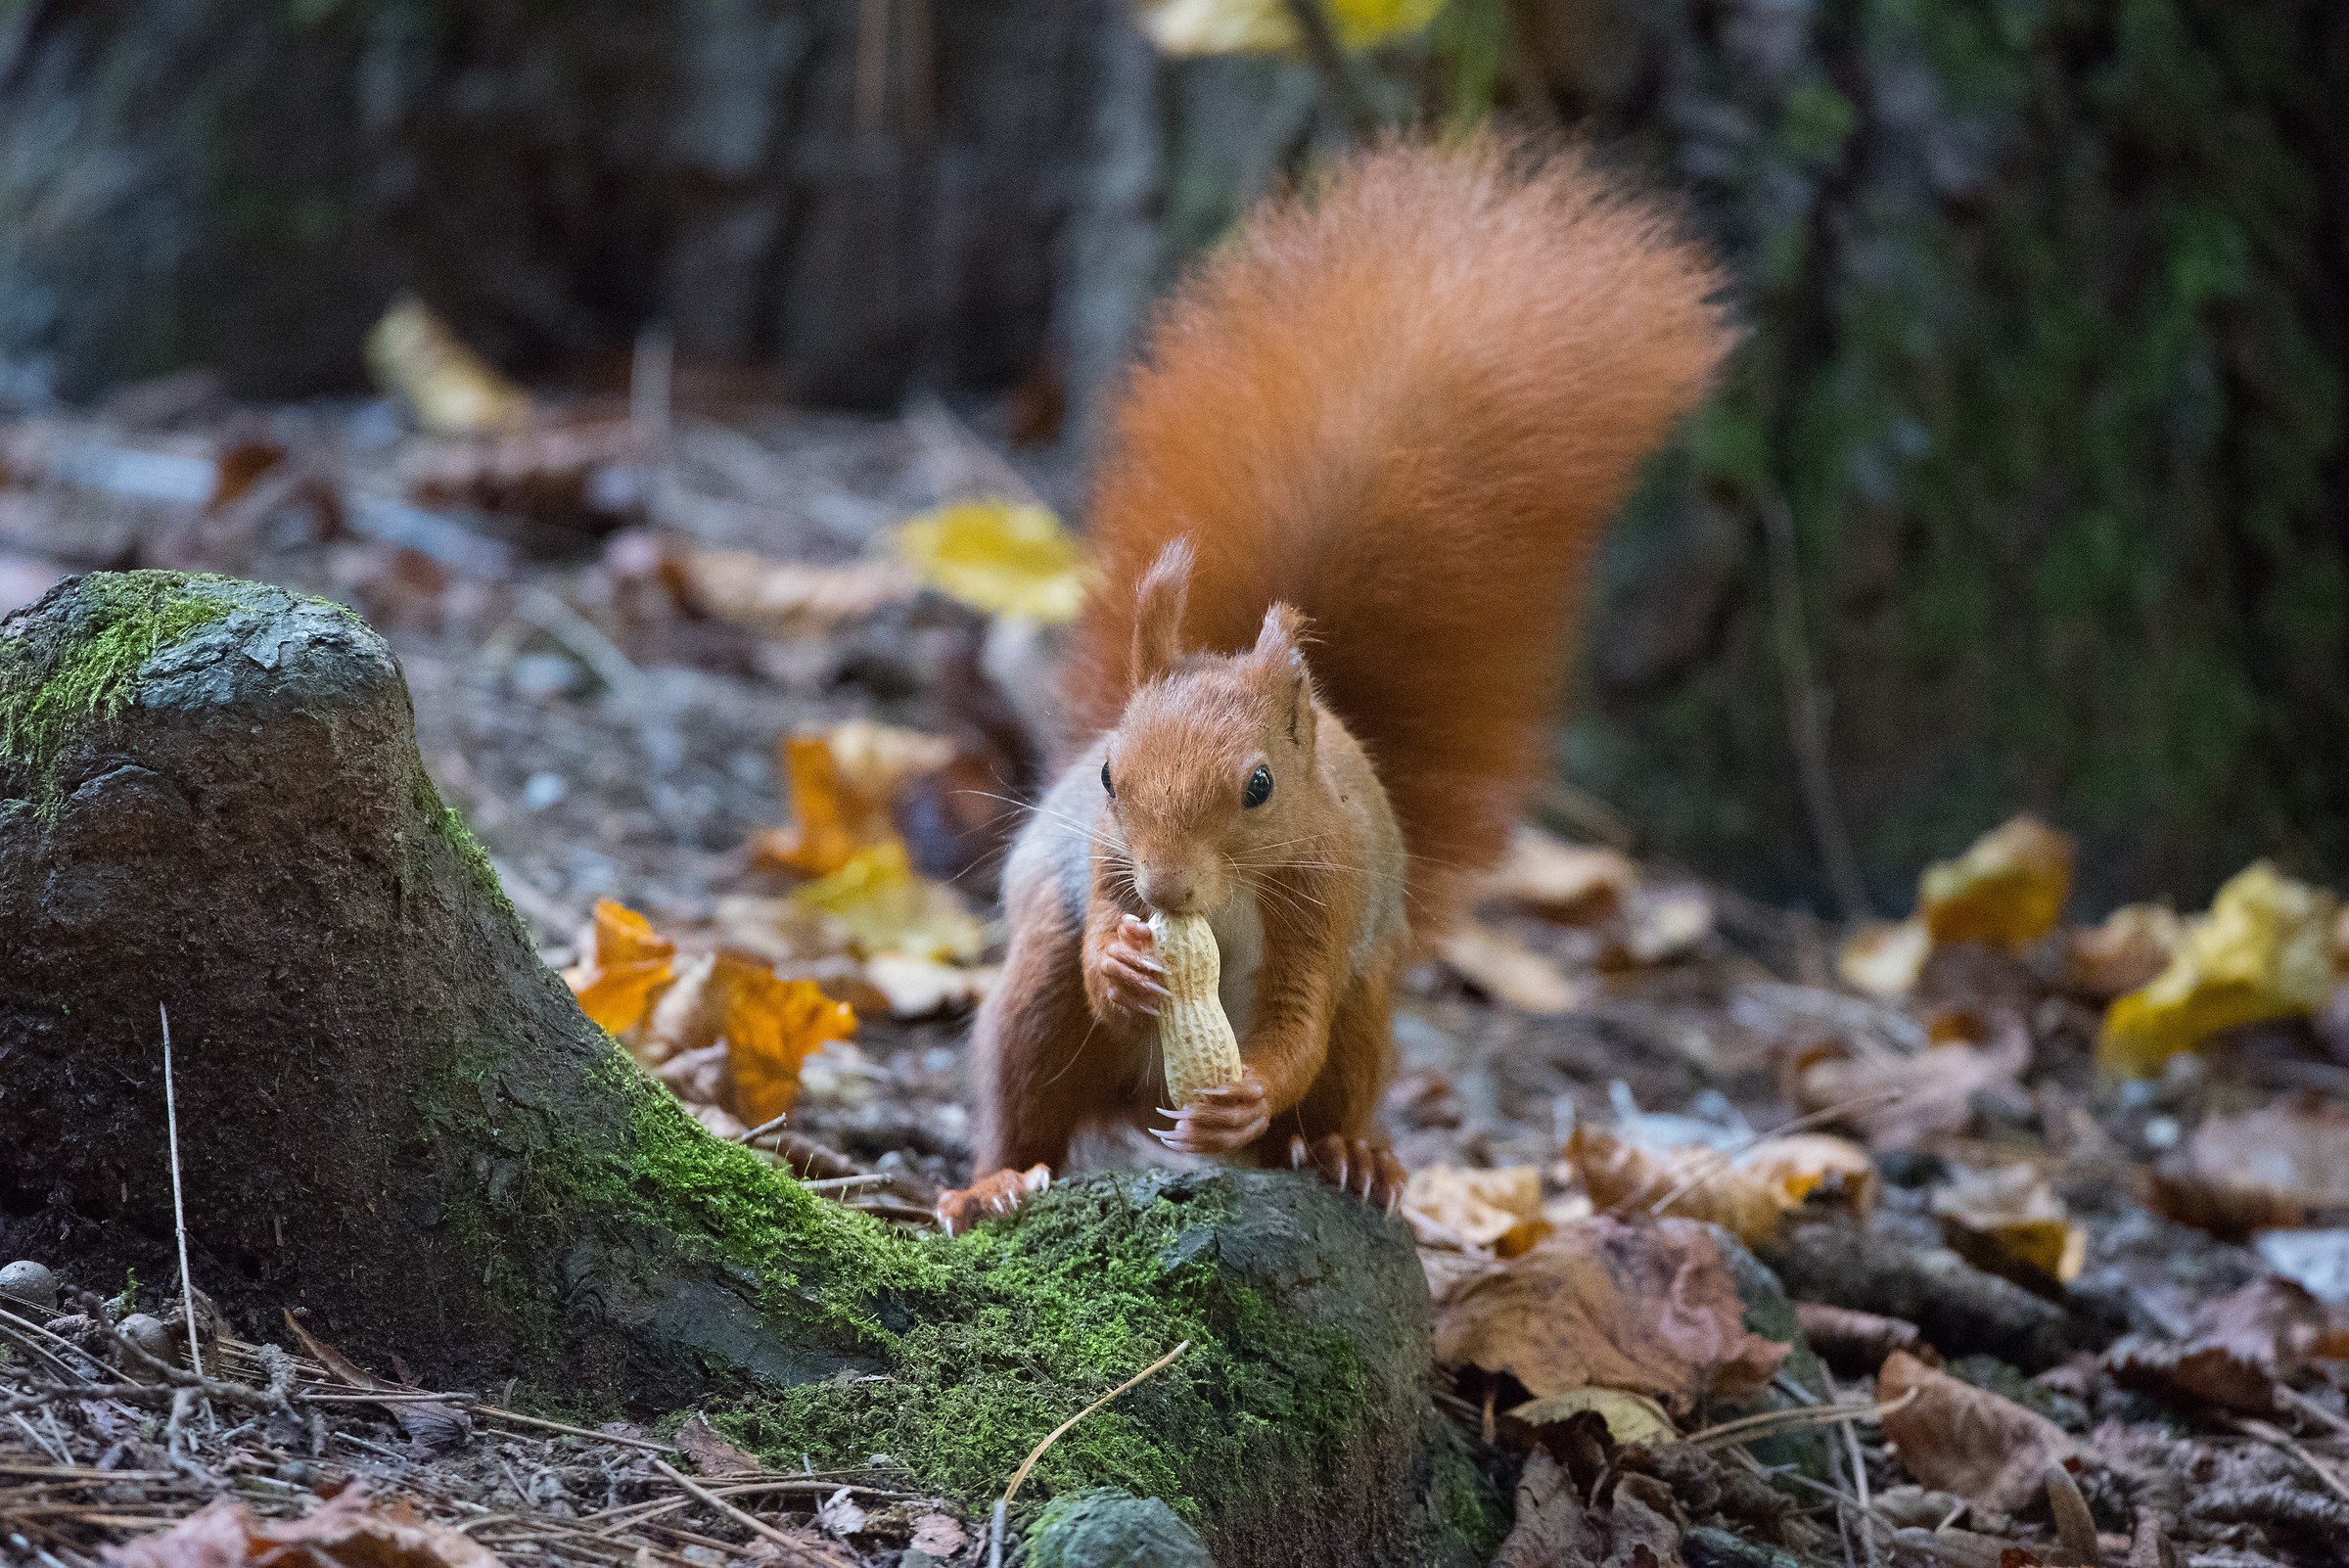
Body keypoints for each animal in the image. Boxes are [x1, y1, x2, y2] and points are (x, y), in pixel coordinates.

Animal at [937, 136, 1733, 1233]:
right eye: (1105, 776)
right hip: (1036, 992)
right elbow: (1101, 940)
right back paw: (995, 1183)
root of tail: (1145, 1106)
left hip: (1369, 1012)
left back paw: (1350, 1157)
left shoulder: (1327, 896)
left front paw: (1247, 1094)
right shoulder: (1100, 860)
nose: (1165, 889)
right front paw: (1123, 961)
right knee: (1030, 1087)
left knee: (1323, 1094)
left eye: (1260, 786)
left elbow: (1298, 1019)